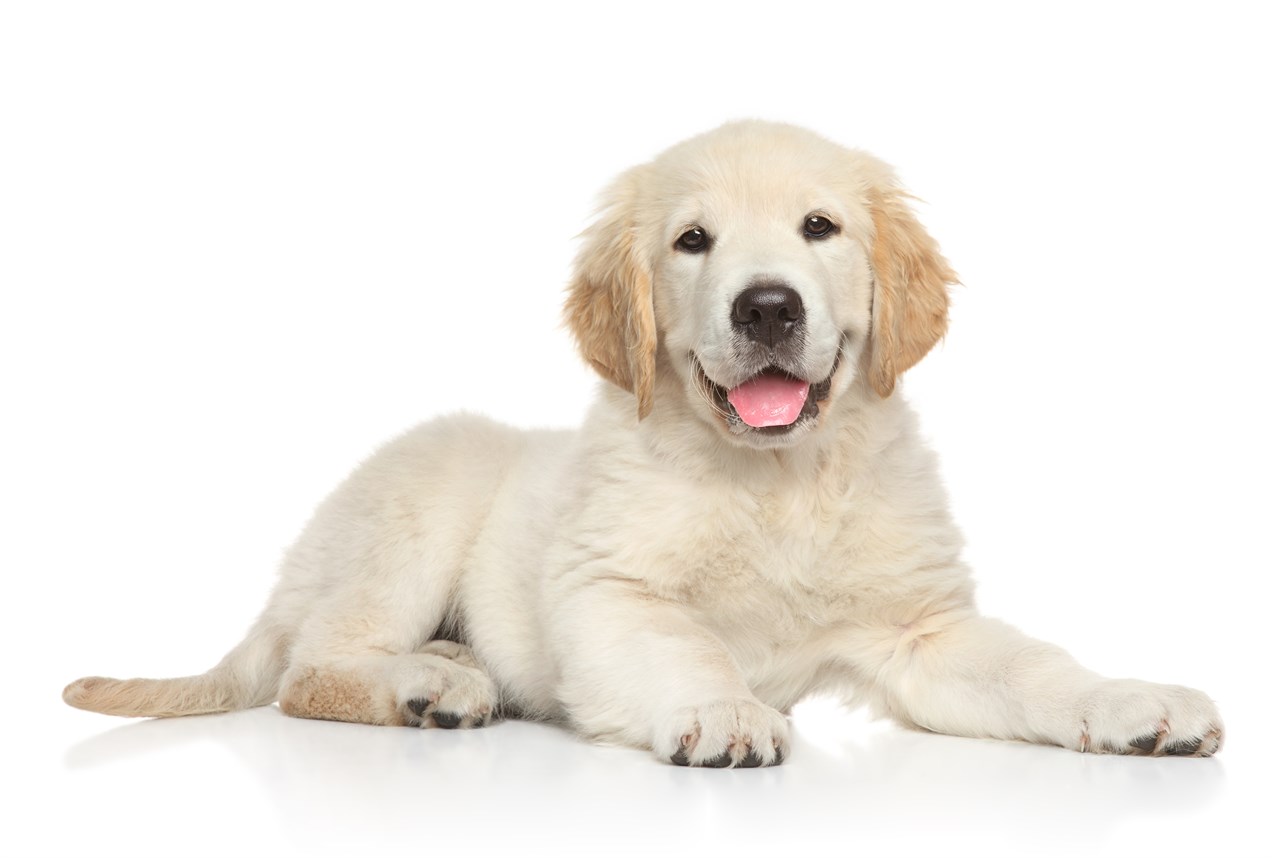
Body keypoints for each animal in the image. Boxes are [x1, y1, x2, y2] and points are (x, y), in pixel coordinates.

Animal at [64, 118, 1216, 767]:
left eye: (820, 229)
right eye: (692, 241)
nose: (767, 308)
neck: (775, 480)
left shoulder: (919, 630)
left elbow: (1033, 669)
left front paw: (1132, 700)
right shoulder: (609, 592)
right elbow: (685, 643)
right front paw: (724, 708)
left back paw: (450, 666)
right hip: (415, 509)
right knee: (312, 669)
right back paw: (425, 686)